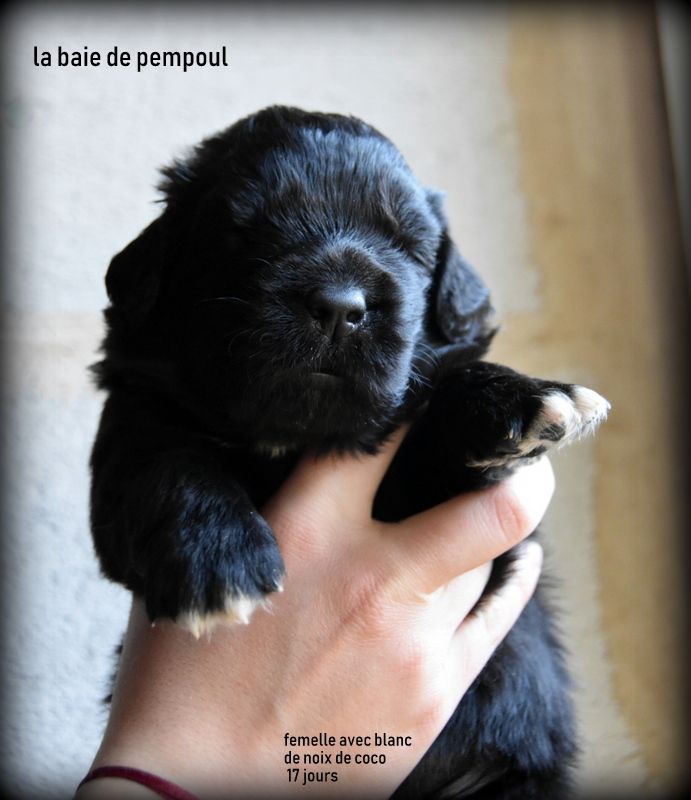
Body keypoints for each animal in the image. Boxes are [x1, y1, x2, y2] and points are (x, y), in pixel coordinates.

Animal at [90, 106, 609, 798]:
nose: (340, 307)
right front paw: (217, 559)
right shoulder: (136, 410)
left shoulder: (483, 545)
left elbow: (436, 416)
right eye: (243, 230)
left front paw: (522, 399)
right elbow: (161, 457)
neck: (295, 437)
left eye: (410, 246)